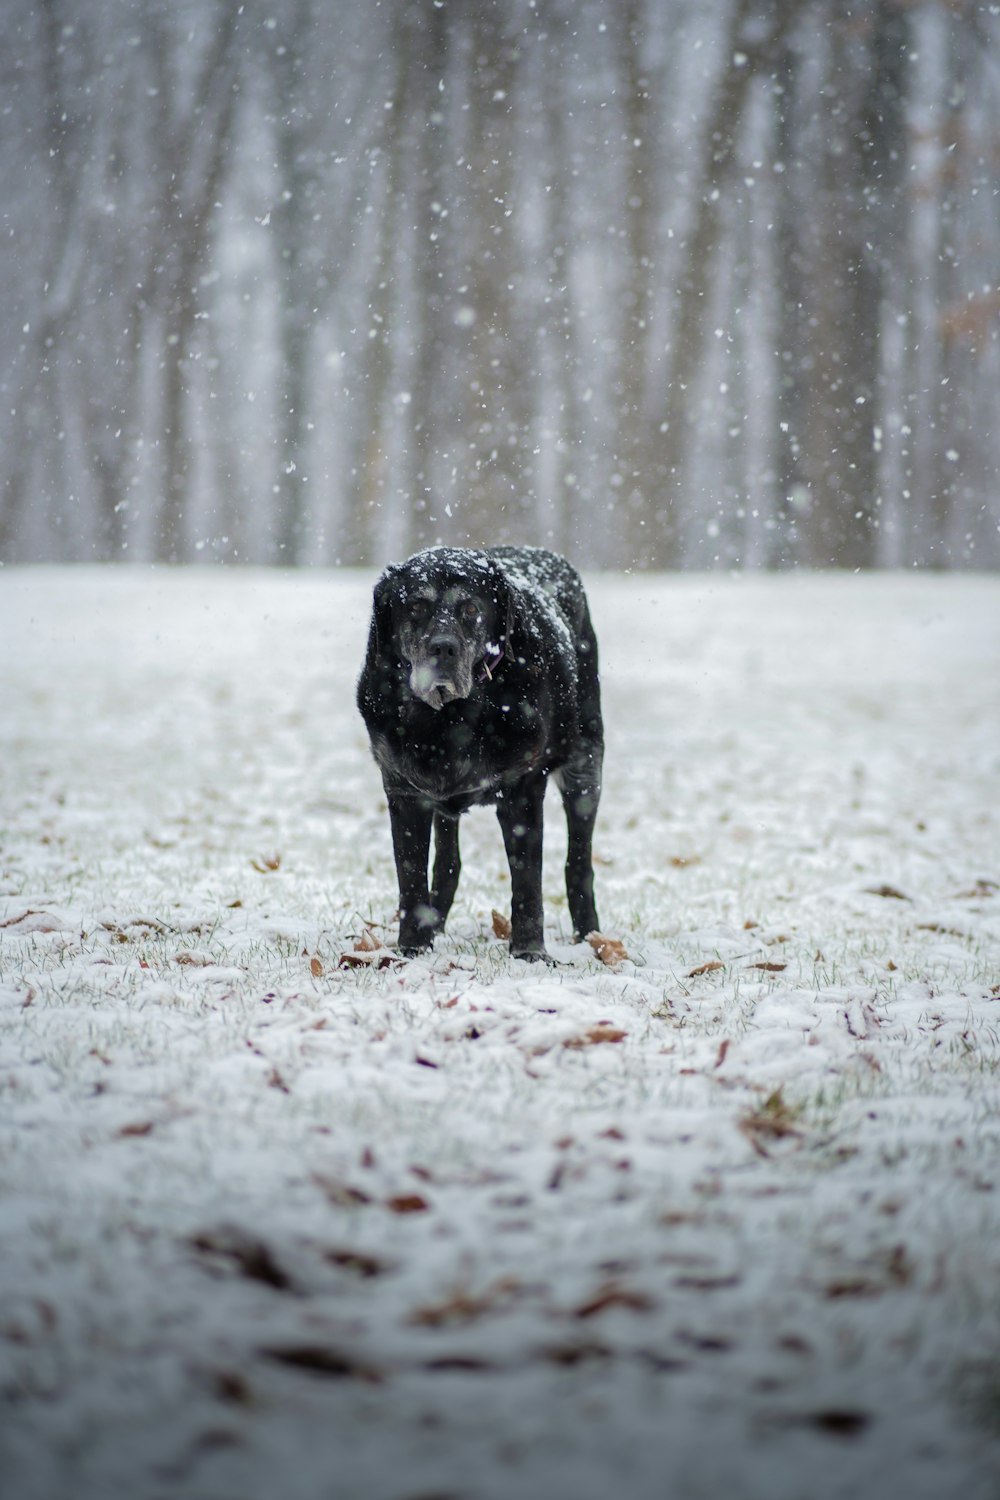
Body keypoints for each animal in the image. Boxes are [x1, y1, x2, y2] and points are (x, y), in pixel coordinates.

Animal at [358, 549, 602, 960]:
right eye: (416, 606)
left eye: (471, 608)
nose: (443, 647)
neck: (448, 717)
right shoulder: (404, 792)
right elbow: (411, 877)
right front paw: (412, 948)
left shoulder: (522, 792)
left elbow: (527, 883)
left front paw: (530, 952)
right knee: (447, 862)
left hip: (586, 766)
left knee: (579, 861)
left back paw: (590, 935)